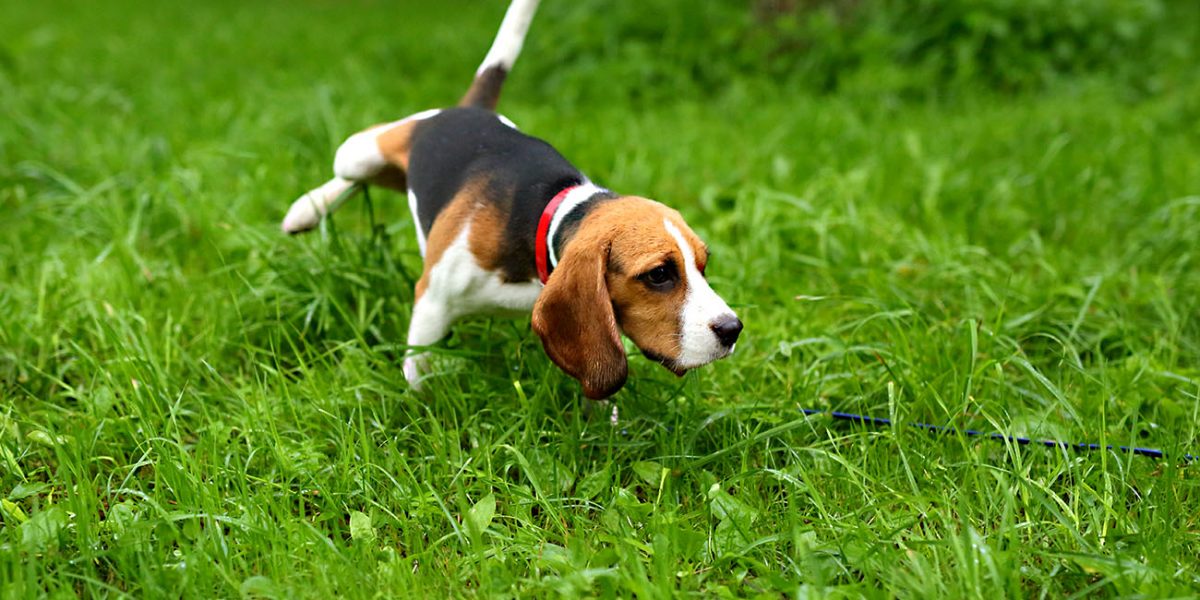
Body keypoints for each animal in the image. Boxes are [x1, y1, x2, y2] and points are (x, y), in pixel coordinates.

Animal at [285, 0, 744, 398]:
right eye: (659, 274)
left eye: (703, 265)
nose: (733, 328)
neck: (548, 215)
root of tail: (468, 110)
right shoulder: (432, 303)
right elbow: (420, 370)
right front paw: (423, 410)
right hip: (361, 149)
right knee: (350, 171)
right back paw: (305, 209)